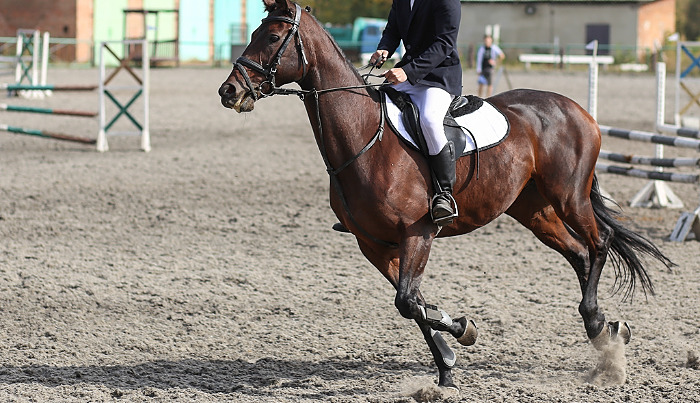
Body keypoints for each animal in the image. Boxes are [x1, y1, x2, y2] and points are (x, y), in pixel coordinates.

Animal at [218, 0, 673, 388]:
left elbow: (408, 301)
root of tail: (578, 110)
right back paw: (603, 329)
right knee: (579, 253)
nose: (229, 92)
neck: (363, 138)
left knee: (600, 242)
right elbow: (415, 303)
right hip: (534, 210)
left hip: (569, 197)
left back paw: (600, 327)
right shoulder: (373, 244)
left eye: (272, 37)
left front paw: (461, 335)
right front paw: (448, 366)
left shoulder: (417, 233)